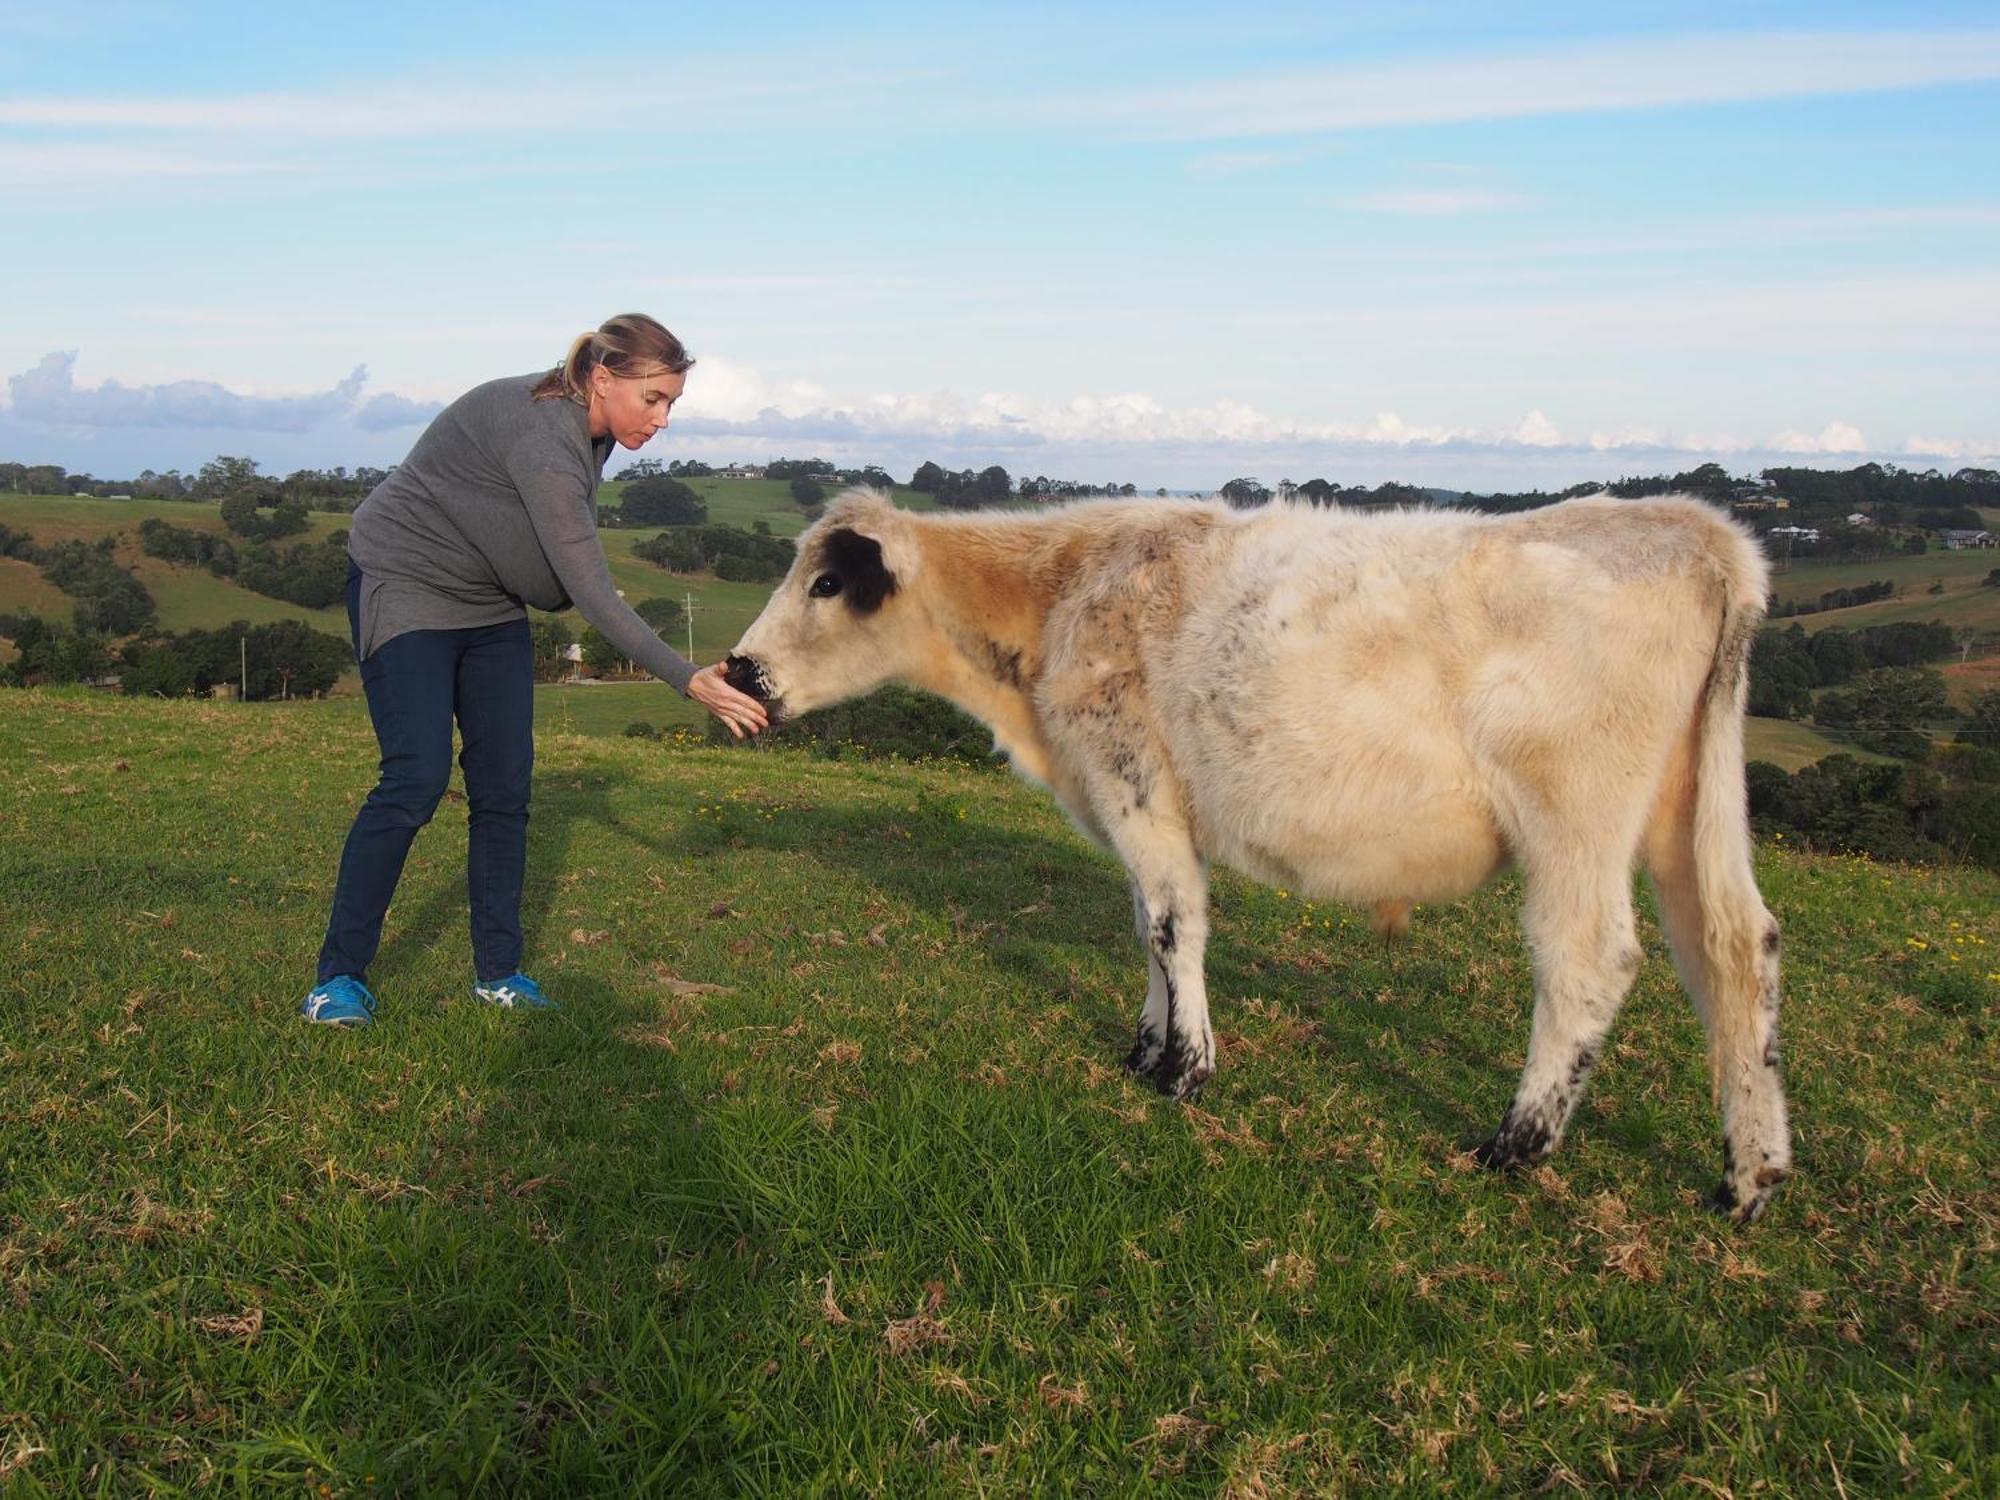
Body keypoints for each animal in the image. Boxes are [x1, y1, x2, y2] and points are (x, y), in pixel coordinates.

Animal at [728, 490, 1792, 1224]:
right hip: (1687, 813)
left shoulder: (1134, 777)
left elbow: (1172, 922)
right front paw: (1146, 1046)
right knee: (1737, 951)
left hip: (1575, 817)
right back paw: (1749, 1174)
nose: (739, 670)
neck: (1062, 585)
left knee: (1590, 961)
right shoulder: (1137, 801)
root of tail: (1694, 529)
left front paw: (1185, 1070)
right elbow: (1148, 924)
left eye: (826, 583)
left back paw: (1516, 1143)